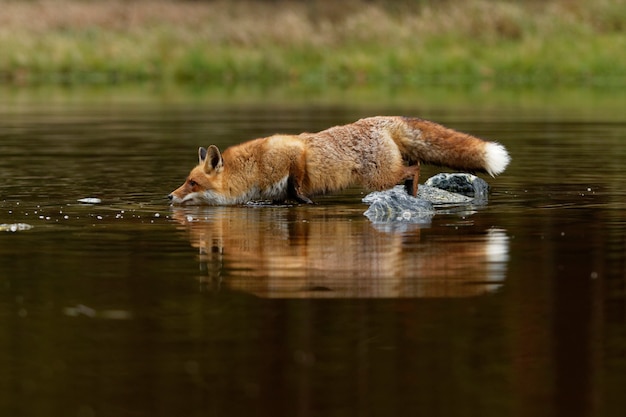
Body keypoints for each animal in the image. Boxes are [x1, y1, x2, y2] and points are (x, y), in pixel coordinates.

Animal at [169, 116, 508, 204]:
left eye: (192, 182)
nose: (169, 196)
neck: (252, 168)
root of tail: (381, 119)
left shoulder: (293, 151)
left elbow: (297, 184)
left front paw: (305, 199)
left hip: (379, 177)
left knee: (414, 169)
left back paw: (411, 194)